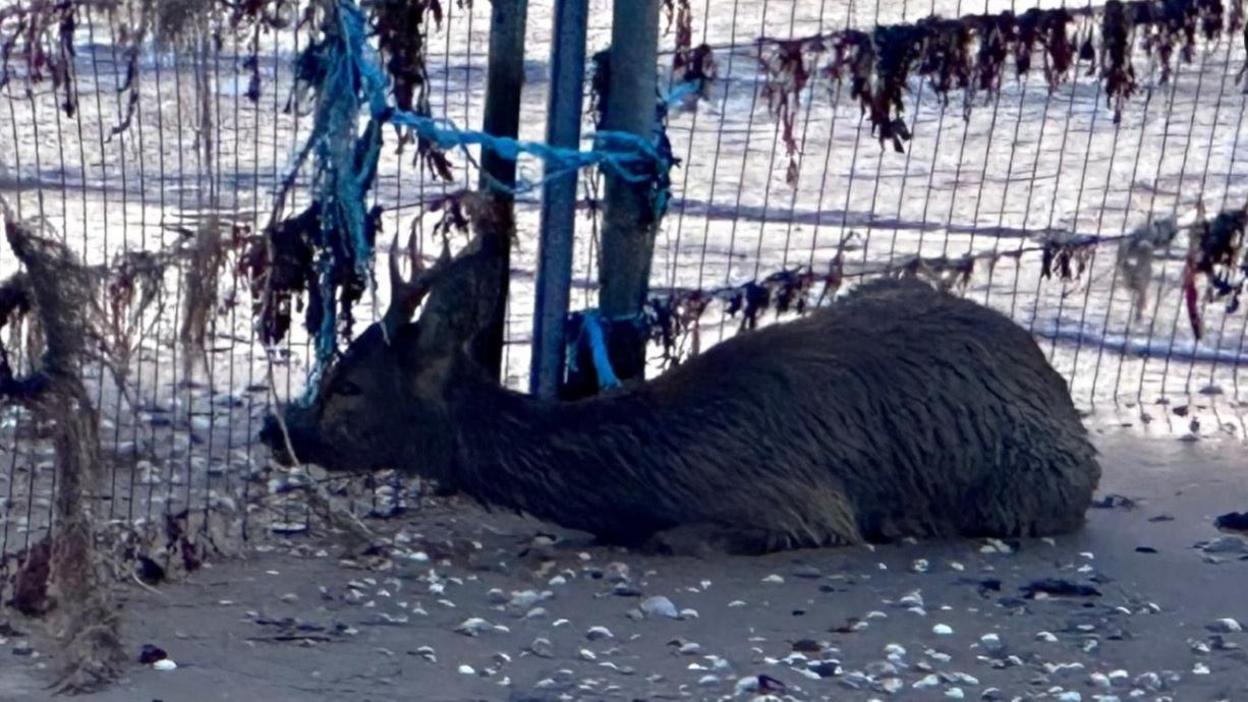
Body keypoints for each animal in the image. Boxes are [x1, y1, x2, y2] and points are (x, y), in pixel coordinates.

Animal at [258, 232, 1098, 554]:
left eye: (350, 384)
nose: (277, 427)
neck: (660, 467)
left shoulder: (798, 505)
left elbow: (673, 537)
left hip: (1034, 483)